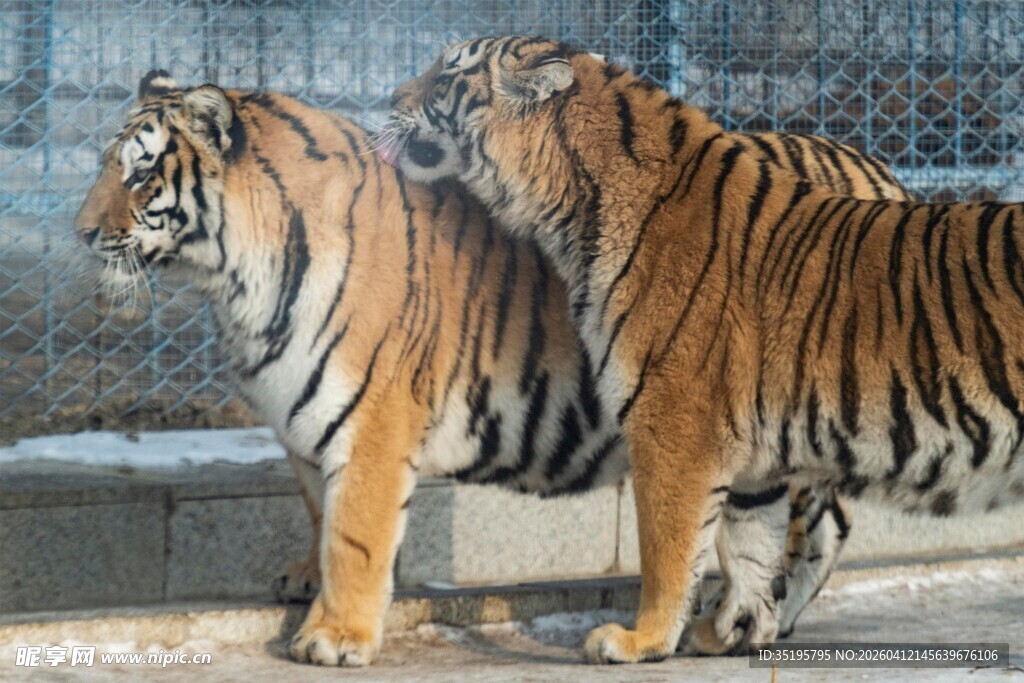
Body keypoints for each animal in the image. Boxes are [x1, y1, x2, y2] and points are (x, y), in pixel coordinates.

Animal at [73, 71, 907, 668]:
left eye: (140, 176)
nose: (79, 233)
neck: (234, 283)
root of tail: (879, 169)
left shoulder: (373, 418)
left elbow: (355, 531)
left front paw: (335, 635)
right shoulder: (302, 419)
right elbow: (320, 512)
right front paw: (305, 580)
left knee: (812, 524)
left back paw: (753, 623)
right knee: (818, 522)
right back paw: (755, 622)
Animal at [385, 35, 1024, 664]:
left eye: (446, 75)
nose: (390, 95)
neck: (571, 205)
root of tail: (881, 167)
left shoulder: (673, 422)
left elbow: (669, 545)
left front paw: (640, 640)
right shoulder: (756, 450)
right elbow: (749, 544)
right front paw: (732, 630)